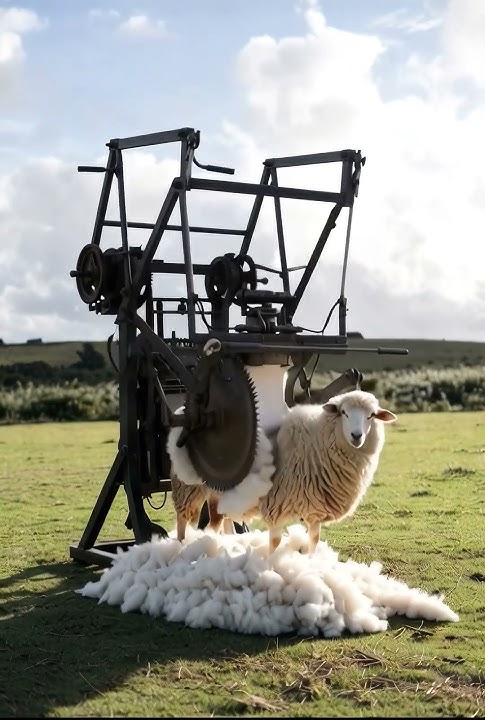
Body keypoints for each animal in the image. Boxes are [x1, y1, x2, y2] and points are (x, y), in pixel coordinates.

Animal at [258, 389, 397, 556]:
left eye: (371, 415)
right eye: (343, 412)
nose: (356, 436)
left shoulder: (315, 507)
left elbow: (314, 539)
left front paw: (310, 559)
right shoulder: (275, 505)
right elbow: (275, 542)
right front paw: (270, 561)